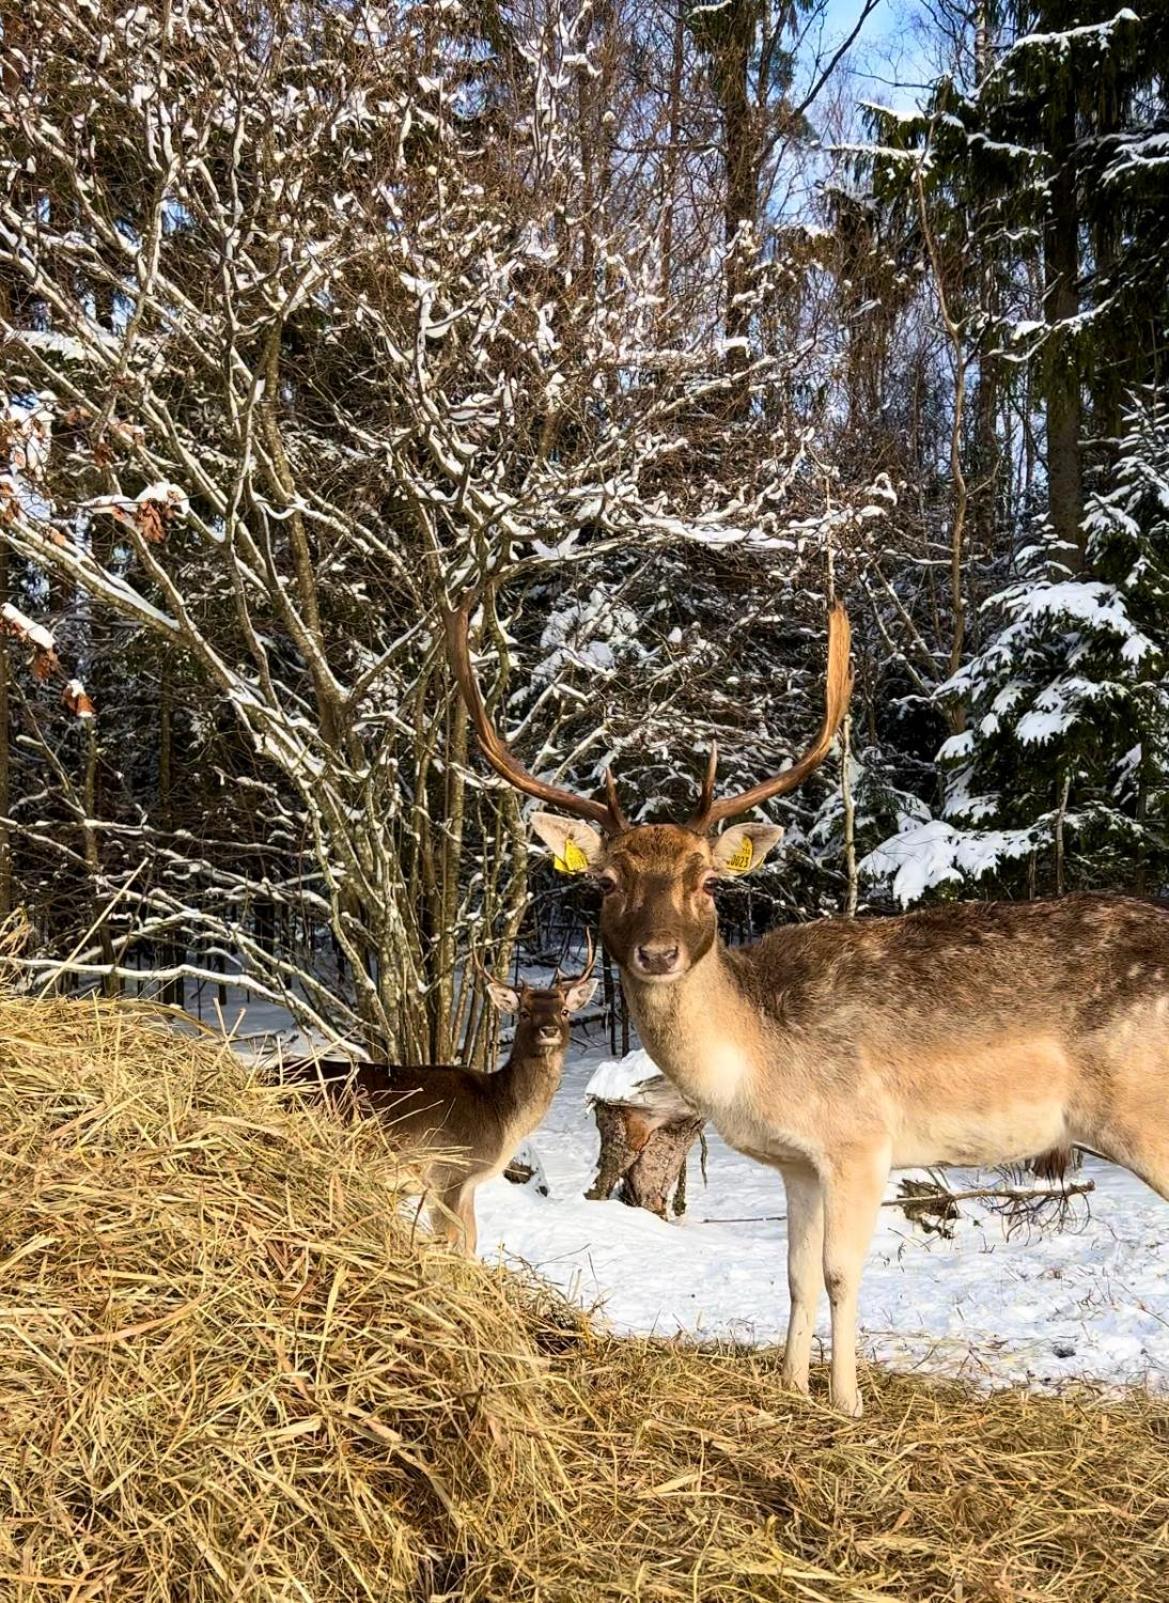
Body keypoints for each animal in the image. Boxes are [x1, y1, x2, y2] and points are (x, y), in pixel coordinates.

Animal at [280, 942, 593, 1256]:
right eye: (525, 1012)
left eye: (564, 1011)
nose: (549, 1030)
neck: (502, 1114)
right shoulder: (447, 1173)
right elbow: (452, 1241)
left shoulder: (468, 1185)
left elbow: (471, 1242)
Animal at [445, 599, 1167, 1417]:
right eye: (606, 881)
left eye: (705, 881)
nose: (658, 953)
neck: (755, 1065)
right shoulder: (796, 1162)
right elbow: (793, 1275)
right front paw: (792, 1385)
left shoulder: (860, 1140)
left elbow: (838, 1273)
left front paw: (847, 1403)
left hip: (1145, 1114)